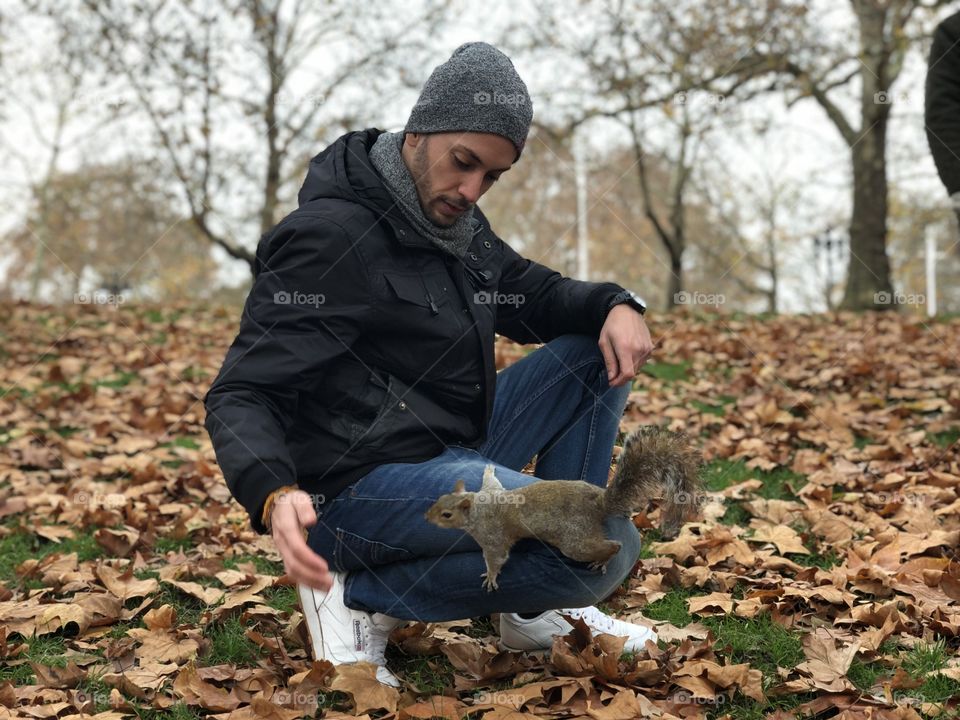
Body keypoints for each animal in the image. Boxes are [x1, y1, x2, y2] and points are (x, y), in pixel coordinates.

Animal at [424, 428, 700, 592]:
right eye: (439, 499)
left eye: (447, 514)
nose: (426, 517)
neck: (479, 509)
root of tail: (598, 503)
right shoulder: (491, 492)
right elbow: (492, 482)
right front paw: (488, 470)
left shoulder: (493, 539)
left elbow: (497, 558)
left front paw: (491, 578)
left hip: (575, 543)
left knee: (611, 546)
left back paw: (603, 559)